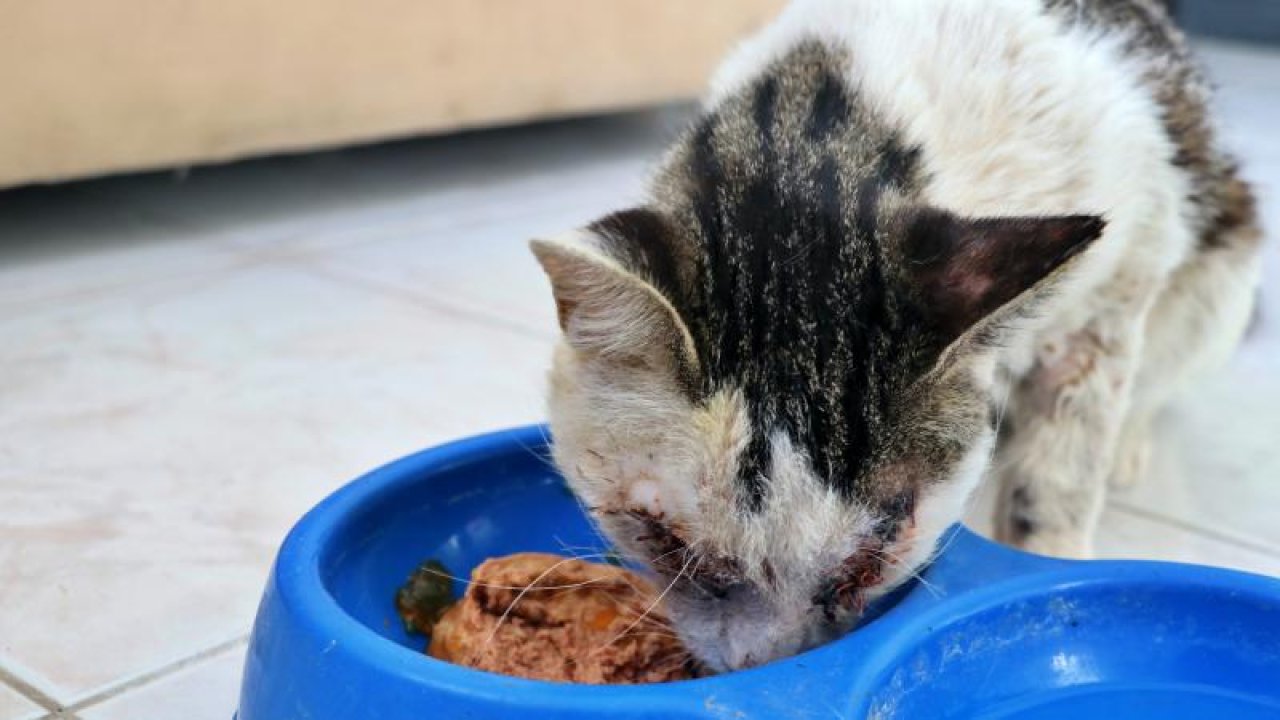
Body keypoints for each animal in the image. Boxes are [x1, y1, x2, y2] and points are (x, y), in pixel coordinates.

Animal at [527, 1, 1259, 671]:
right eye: (665, 542)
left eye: (875, 552)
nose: (761, 665)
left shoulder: (1113, 296)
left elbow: (1059, 474)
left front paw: (1047, 554)